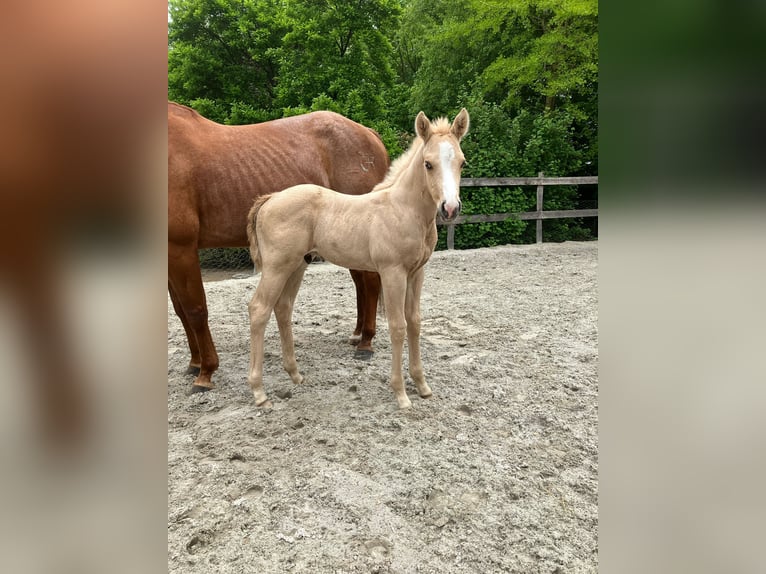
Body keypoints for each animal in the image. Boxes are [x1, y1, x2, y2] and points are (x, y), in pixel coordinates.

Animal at [168, 102, 390, 393]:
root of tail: (369, 134)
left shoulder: (181, 248)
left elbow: (195, 310)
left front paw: (205, 372)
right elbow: (181, 311)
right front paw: (194, 363)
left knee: (370, 283)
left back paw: (366, 344)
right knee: (361, 284)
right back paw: (358, 334)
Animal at [245, 108, 469, 409]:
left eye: (462, 163)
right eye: (428, 164)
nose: (450, 208)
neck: (403, 209)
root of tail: (270, 199)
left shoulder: (416, 273)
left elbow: (415, 323)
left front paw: (422, 385)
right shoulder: (393, 272)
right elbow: (398, 326)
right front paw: (401, 394)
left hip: (296, 266)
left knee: (283, 308)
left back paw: (295, 374)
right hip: (275, 267)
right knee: (259, 309)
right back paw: (258, 391)